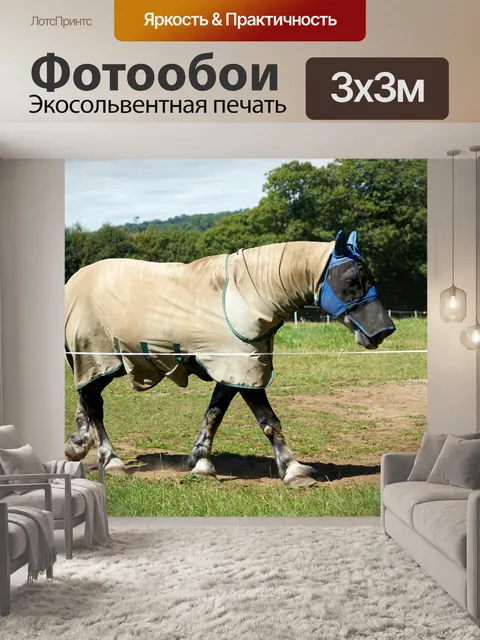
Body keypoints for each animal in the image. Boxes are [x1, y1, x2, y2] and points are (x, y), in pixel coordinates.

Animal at [64, 230, 396, 486]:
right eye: (352, 279)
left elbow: (214, 414)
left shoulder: (234, 372)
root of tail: (73, 283)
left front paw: (200, 462)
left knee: (86, 397)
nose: (384, 331)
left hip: (105, 364)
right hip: (98, 359)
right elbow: (268, 421)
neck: (250, 294)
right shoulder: (242, 368)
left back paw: (78, 446)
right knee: (94, 405)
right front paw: (293, 470)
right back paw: (111, 460)